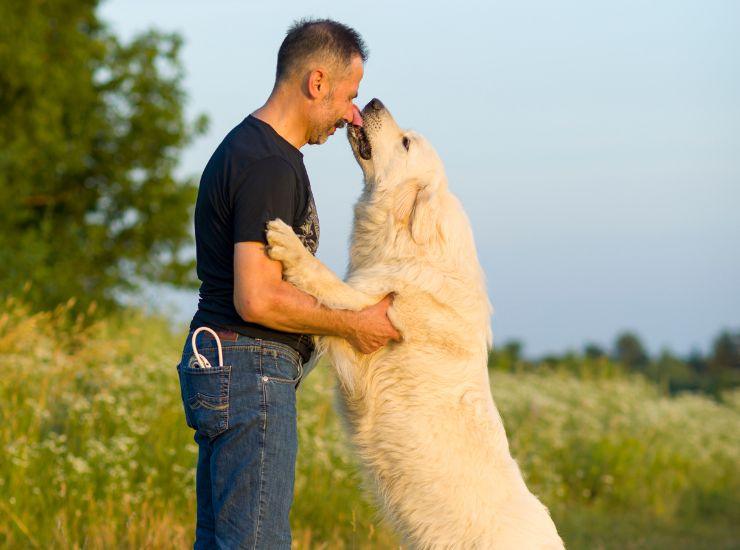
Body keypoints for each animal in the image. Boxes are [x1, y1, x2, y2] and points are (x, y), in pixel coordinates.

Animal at [268, 100, 564, 550]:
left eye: (406, 142)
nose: (374, 102)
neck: (411, 242)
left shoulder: (363, 323)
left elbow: (325, 282)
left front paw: (288, 245)